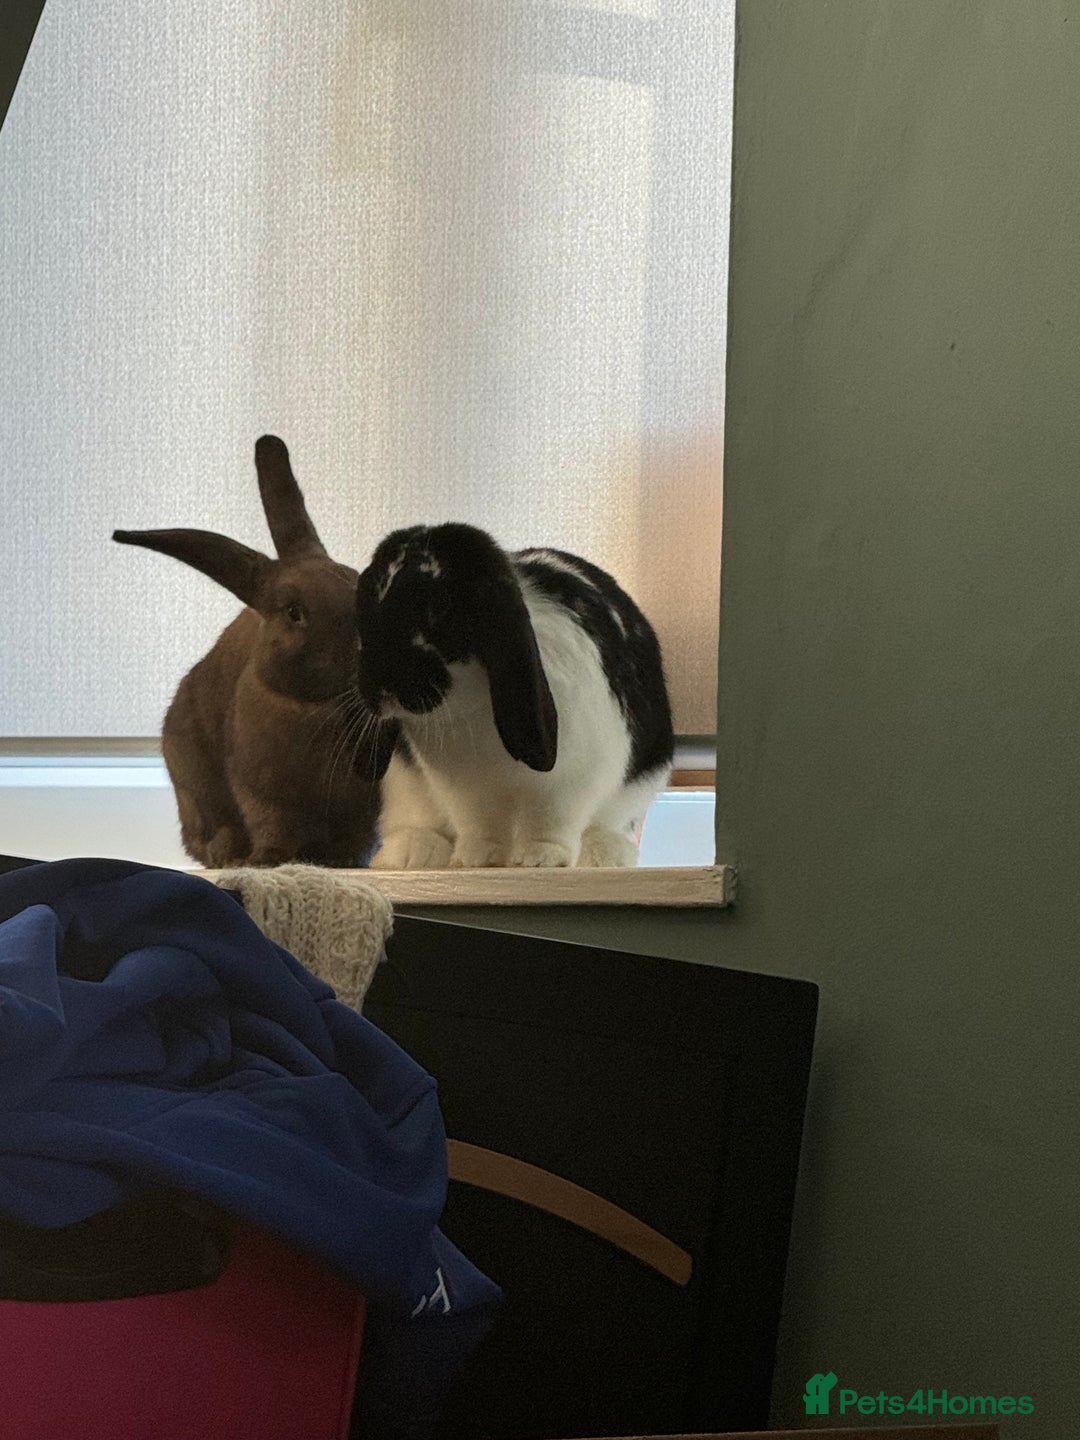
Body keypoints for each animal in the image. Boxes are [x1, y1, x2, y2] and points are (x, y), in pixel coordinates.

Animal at [113, 435, 390, 869]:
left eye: (355, 581)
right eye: (294, 612)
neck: (315, 706)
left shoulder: (362, 808)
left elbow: (358, 838)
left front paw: (345, 864)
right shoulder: (261, 796)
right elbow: (273, 828)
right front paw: (266, 861)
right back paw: (228, 855)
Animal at [353, 523, 674, 869]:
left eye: (440, 608)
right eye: (366, 613)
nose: (382, 686)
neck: (472, 703)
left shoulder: (569, 781)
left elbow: (550, 818)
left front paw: (539, 858)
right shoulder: (465, 789)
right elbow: (480, 823)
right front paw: (477, 858)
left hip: (635, 788)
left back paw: (602, 856)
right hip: (404, 787)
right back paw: (412, 854)